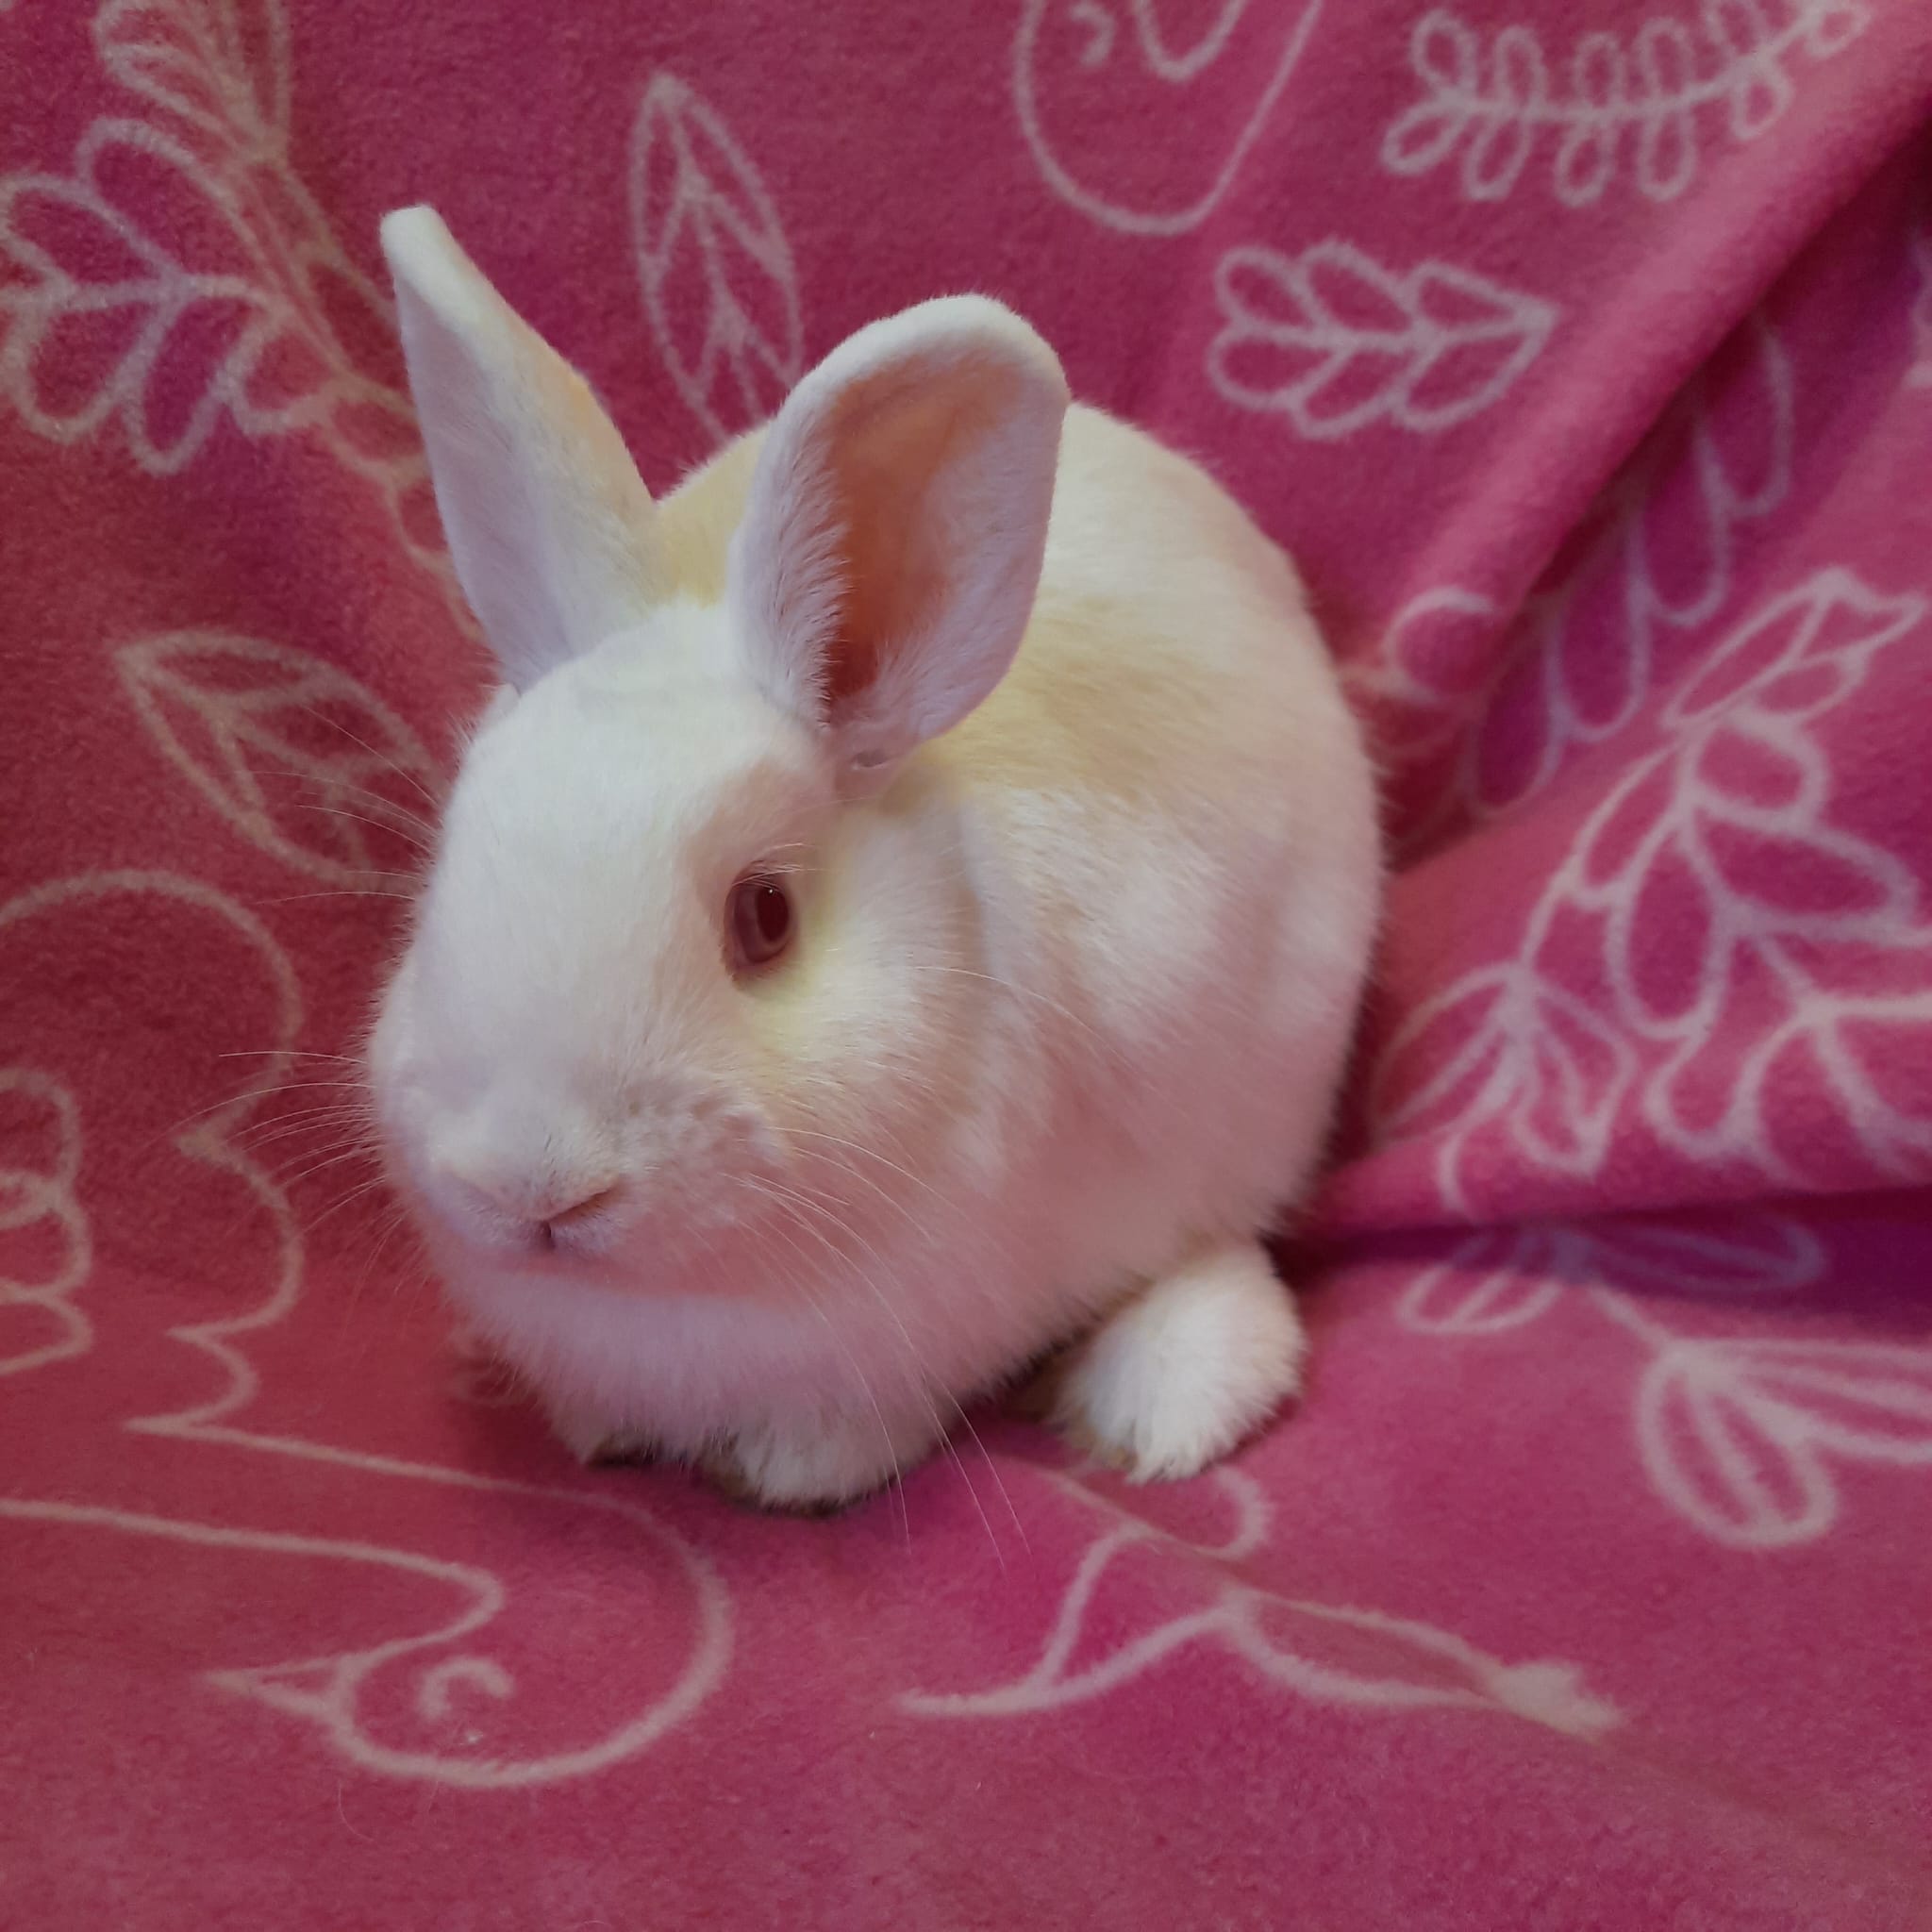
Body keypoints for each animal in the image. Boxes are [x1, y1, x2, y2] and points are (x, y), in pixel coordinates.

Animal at [365, 206, 1381, 1512]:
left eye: (764, 918)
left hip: (1271, 1082)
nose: (528, 1185)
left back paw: (1160, 1406)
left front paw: (788, 1470)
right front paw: (598, 1431)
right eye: (449, 868)